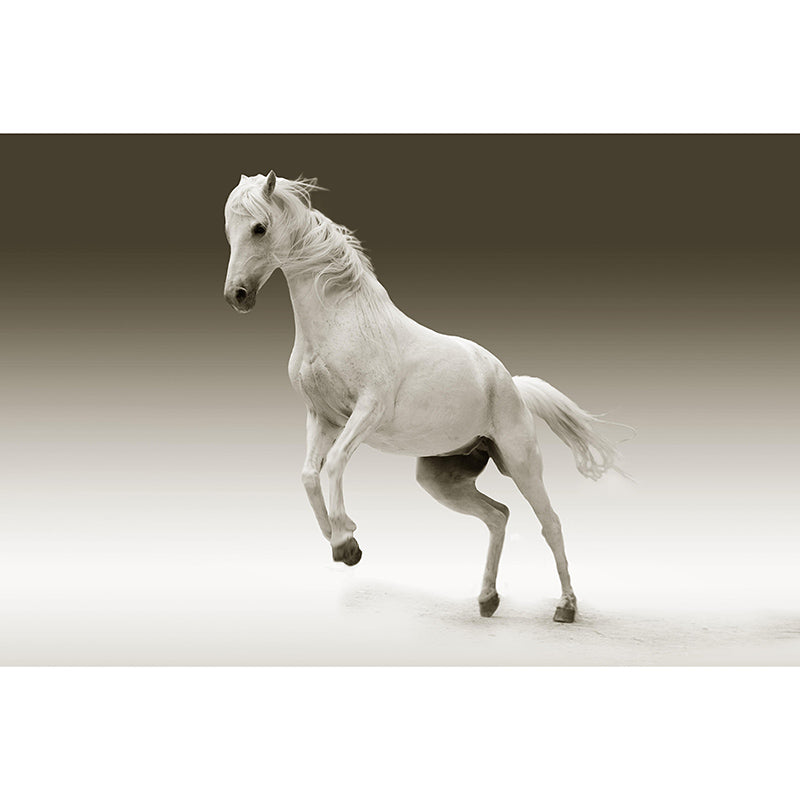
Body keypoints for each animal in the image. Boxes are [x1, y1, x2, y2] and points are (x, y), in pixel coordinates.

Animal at [223, 171, 626, 623]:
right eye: (229, 230)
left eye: (259, 228)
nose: (237, 295)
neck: (342, 322)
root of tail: (511, 383)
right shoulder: (321, 417)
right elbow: (309, 474)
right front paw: (342, 541)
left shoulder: (367, 411)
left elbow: (335, 464)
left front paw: (345, 541)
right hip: (441, 478)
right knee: (498, 516)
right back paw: (487, 599)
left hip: (521, 463)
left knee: (550, 523)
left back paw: (565, 607)